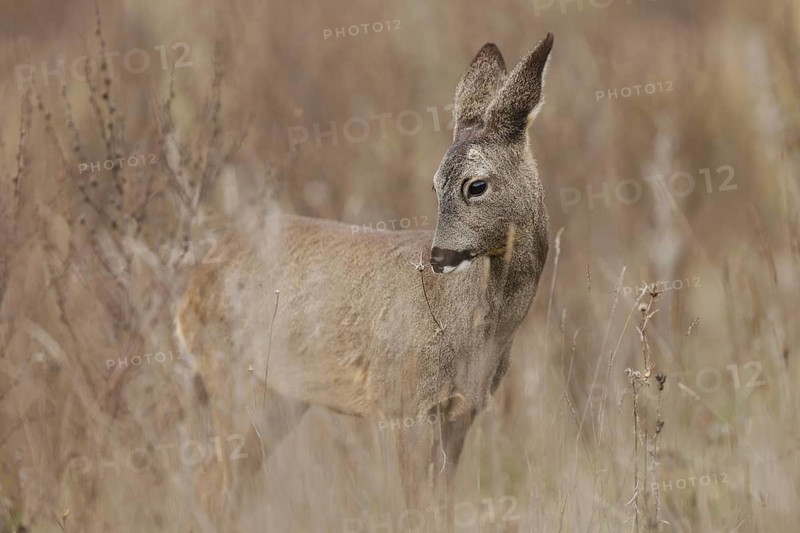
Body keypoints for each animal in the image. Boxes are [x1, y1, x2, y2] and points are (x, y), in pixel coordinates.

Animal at [175, 32, 553, 529]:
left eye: (476, 185)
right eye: (434, 185)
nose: (439, 256)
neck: (476, 328)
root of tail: (191, 284)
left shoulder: (461, 411)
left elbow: (444, 508)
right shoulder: (401, 401)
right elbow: (415, 508)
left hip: (279, 397)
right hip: (230, 378)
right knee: (210, 487)